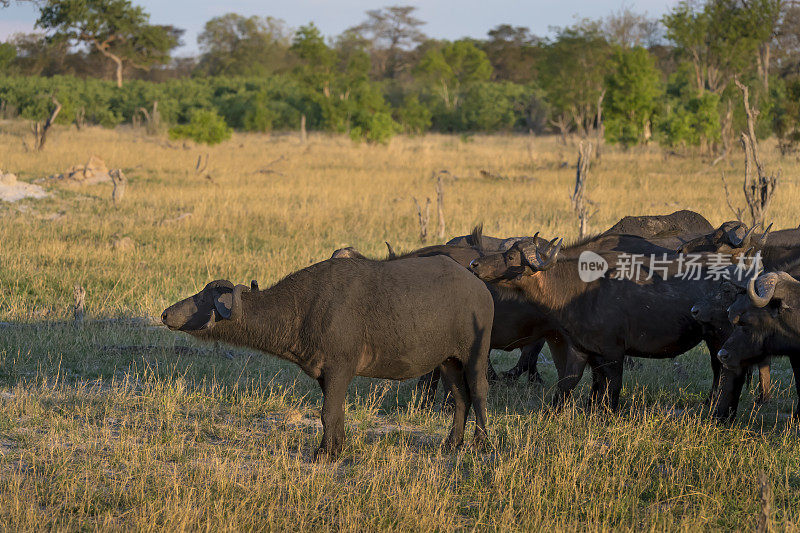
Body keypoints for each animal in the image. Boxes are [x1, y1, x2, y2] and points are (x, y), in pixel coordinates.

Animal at [162, 255, 494, 458]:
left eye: (204, 297)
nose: (165, 314)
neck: (303, 307)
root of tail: (478, 286)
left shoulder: (339, 370)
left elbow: (327, 413)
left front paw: (324, 454)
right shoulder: (326, 375)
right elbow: (335, 413)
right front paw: (337, 448)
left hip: (475, 356)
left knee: (478, 394)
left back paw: (481, 443)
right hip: (448, 361)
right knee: (460, 399)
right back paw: (452, 443)